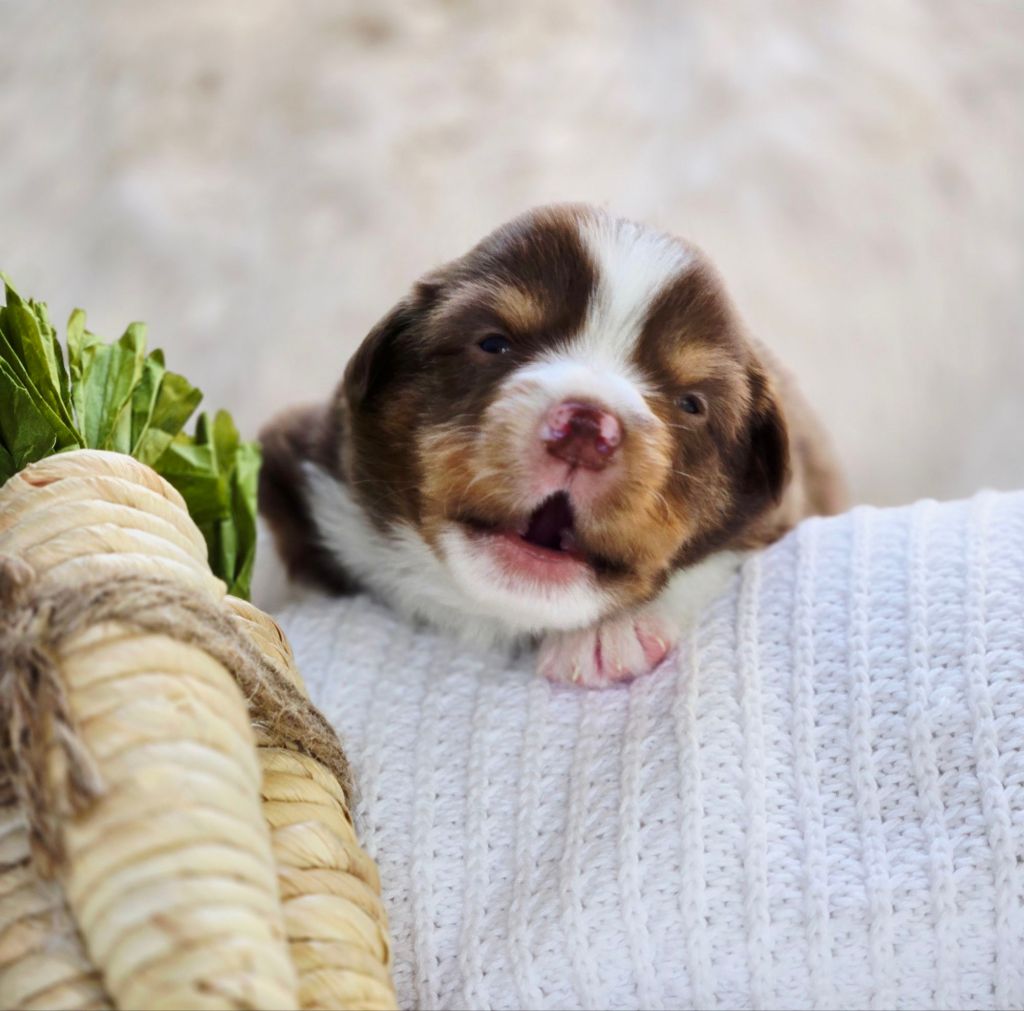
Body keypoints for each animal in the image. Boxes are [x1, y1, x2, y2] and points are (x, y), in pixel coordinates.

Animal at [258, 204, 845, 687]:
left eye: (692, 404)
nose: (586, 431)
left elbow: (723, 556)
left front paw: (613, 633)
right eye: (494, 343)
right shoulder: (306, 453)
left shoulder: (796, 498)